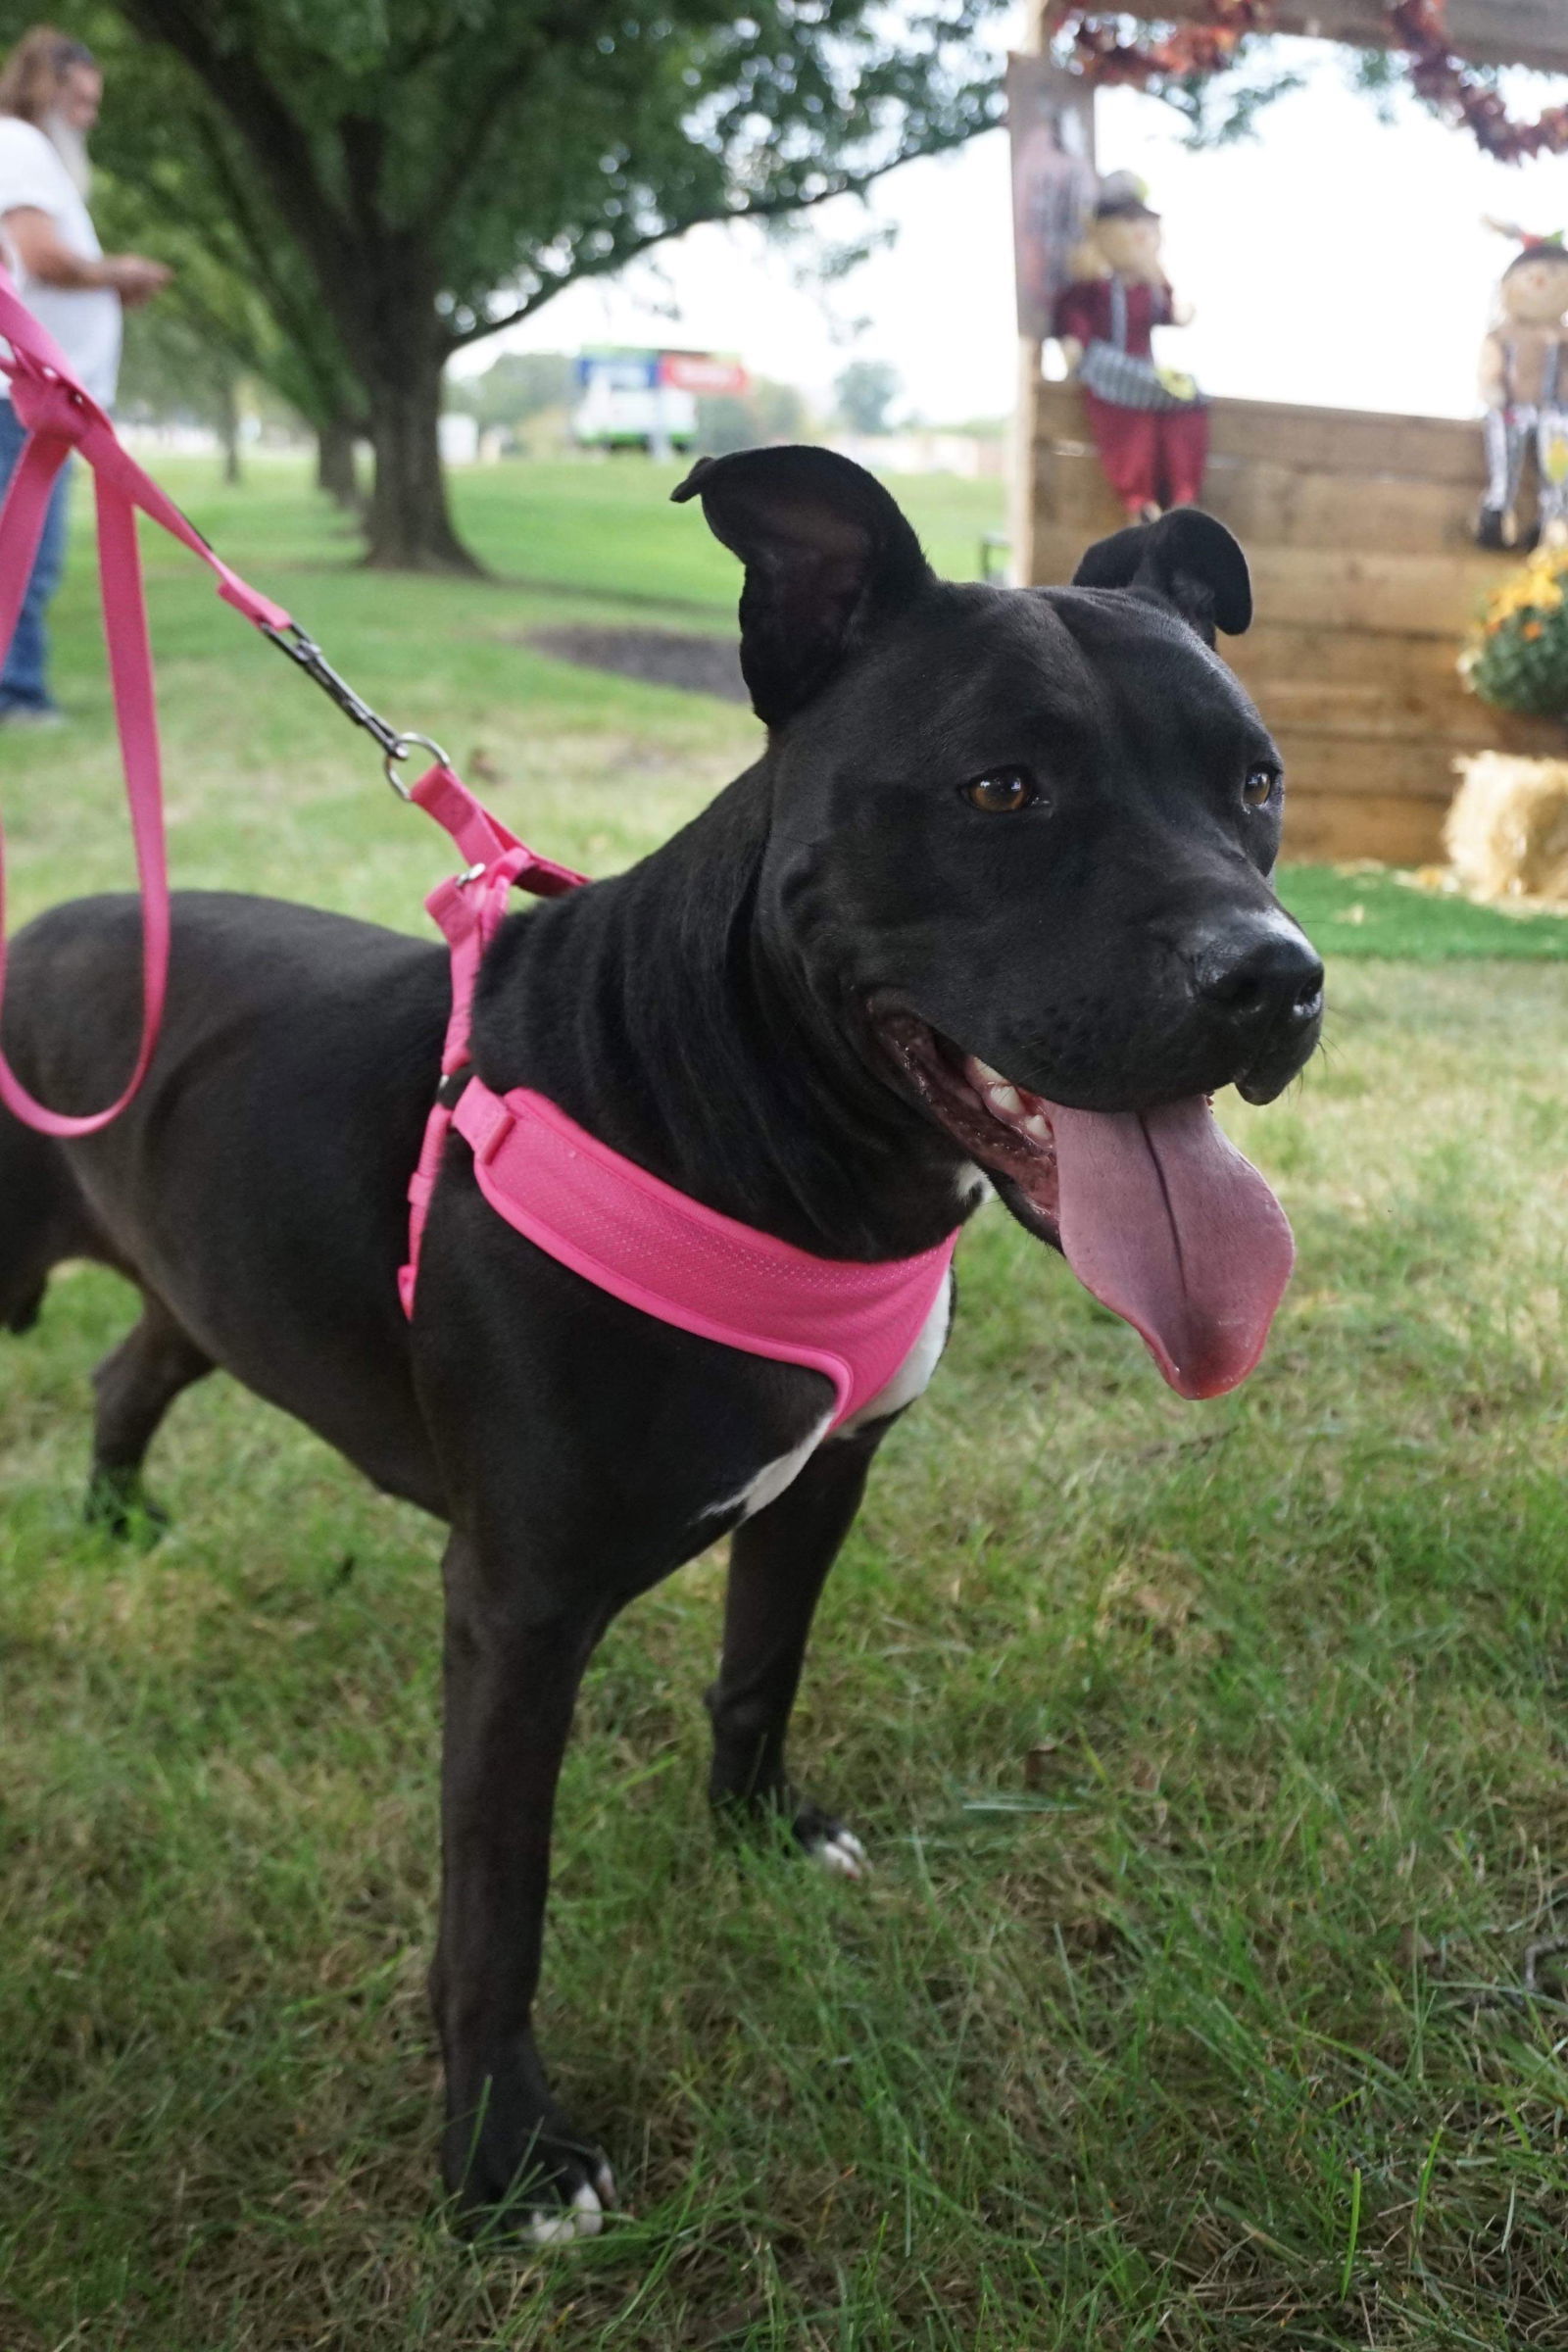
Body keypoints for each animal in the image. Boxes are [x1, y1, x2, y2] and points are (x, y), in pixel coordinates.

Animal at [0, 444, 1325, 2238]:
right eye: (1002, 791)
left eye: (1255, 783)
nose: (1275, 979)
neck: (758, 1119)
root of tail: (46, 921)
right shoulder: (516, 1610)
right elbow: (497, 1895)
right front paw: (503, 2156)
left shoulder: (828, 1477)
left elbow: (760, 1666)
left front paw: (758, 1835)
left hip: (199, 1286)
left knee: (128, 1370)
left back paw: (123, 1523)